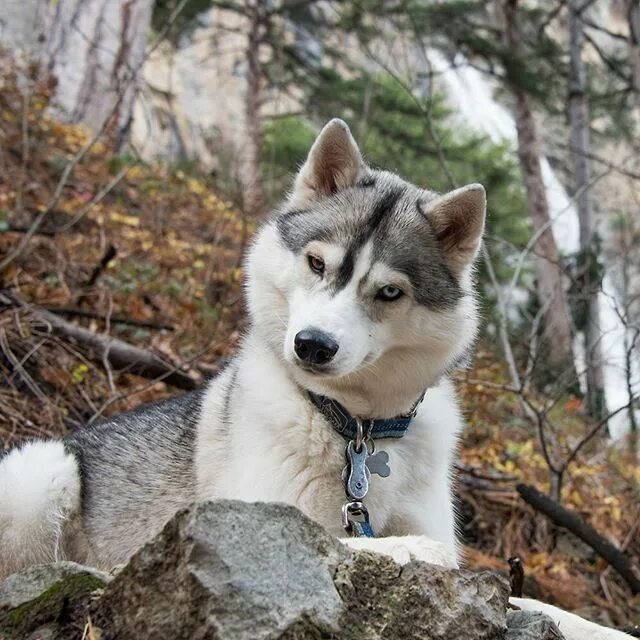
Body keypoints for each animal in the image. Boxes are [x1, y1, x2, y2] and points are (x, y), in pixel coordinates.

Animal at [0, 120, 632, 640]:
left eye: (389, 292)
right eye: (317, 263)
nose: (313, 345)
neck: (357, 428)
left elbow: (544, 607)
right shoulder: (256, 520)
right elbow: (359, 544)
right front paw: (415, 551)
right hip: (43, 472)